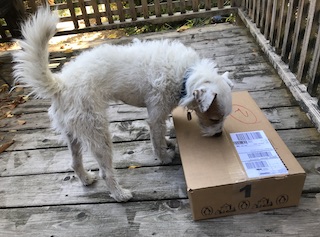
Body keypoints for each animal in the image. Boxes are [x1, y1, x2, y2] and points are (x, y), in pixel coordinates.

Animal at [13, 6, 232, 201]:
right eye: (215, 118)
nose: (219, 135)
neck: (185, 74)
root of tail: (61, 84)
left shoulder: (159, 116)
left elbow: (161, 134)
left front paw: (169, 142)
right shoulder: (155, 115)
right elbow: (157, 140)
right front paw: (164, 157)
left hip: (73, 133)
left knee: (75, 163)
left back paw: (86, 179)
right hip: (98, 133)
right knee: (106, 172)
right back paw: (120, 194)